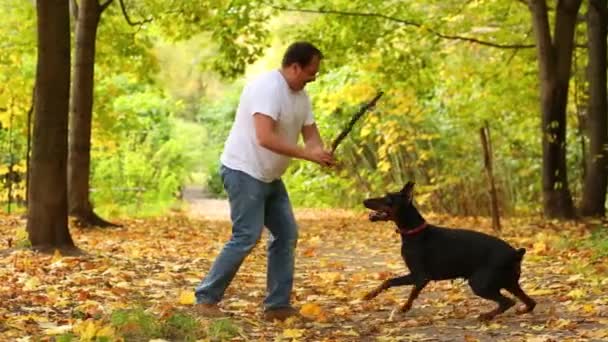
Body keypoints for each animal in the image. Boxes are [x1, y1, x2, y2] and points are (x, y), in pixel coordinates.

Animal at [364, 182, 536, 320]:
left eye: (387, 199)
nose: (364, 201)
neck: (415, 232)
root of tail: (515, 254)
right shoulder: (420, 278)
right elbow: (404, 288)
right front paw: (398, 305)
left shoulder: (420, 276)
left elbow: (393, 283)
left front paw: (375, 297)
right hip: (510, 283)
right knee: (530, 302)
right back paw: (521, 311)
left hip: (480, 283)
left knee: (507, 302)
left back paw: (486, 316)